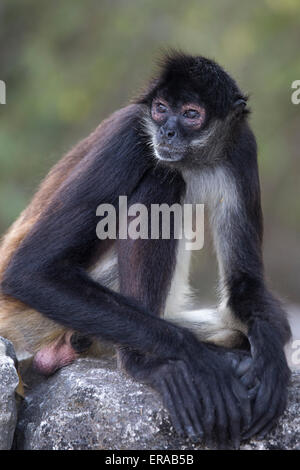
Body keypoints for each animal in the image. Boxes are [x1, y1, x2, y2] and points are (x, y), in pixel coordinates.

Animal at [0, 51, 290, 448]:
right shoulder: (131, 135)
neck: (192, 160)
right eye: (161, 109)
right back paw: (146, 363)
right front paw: (198, 358)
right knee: (162, 179)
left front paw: (270, 358)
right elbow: (31, 271)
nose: (167, 132)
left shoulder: (242, 145)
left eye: (191, 114)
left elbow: (245, 283)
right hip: (34, 317)